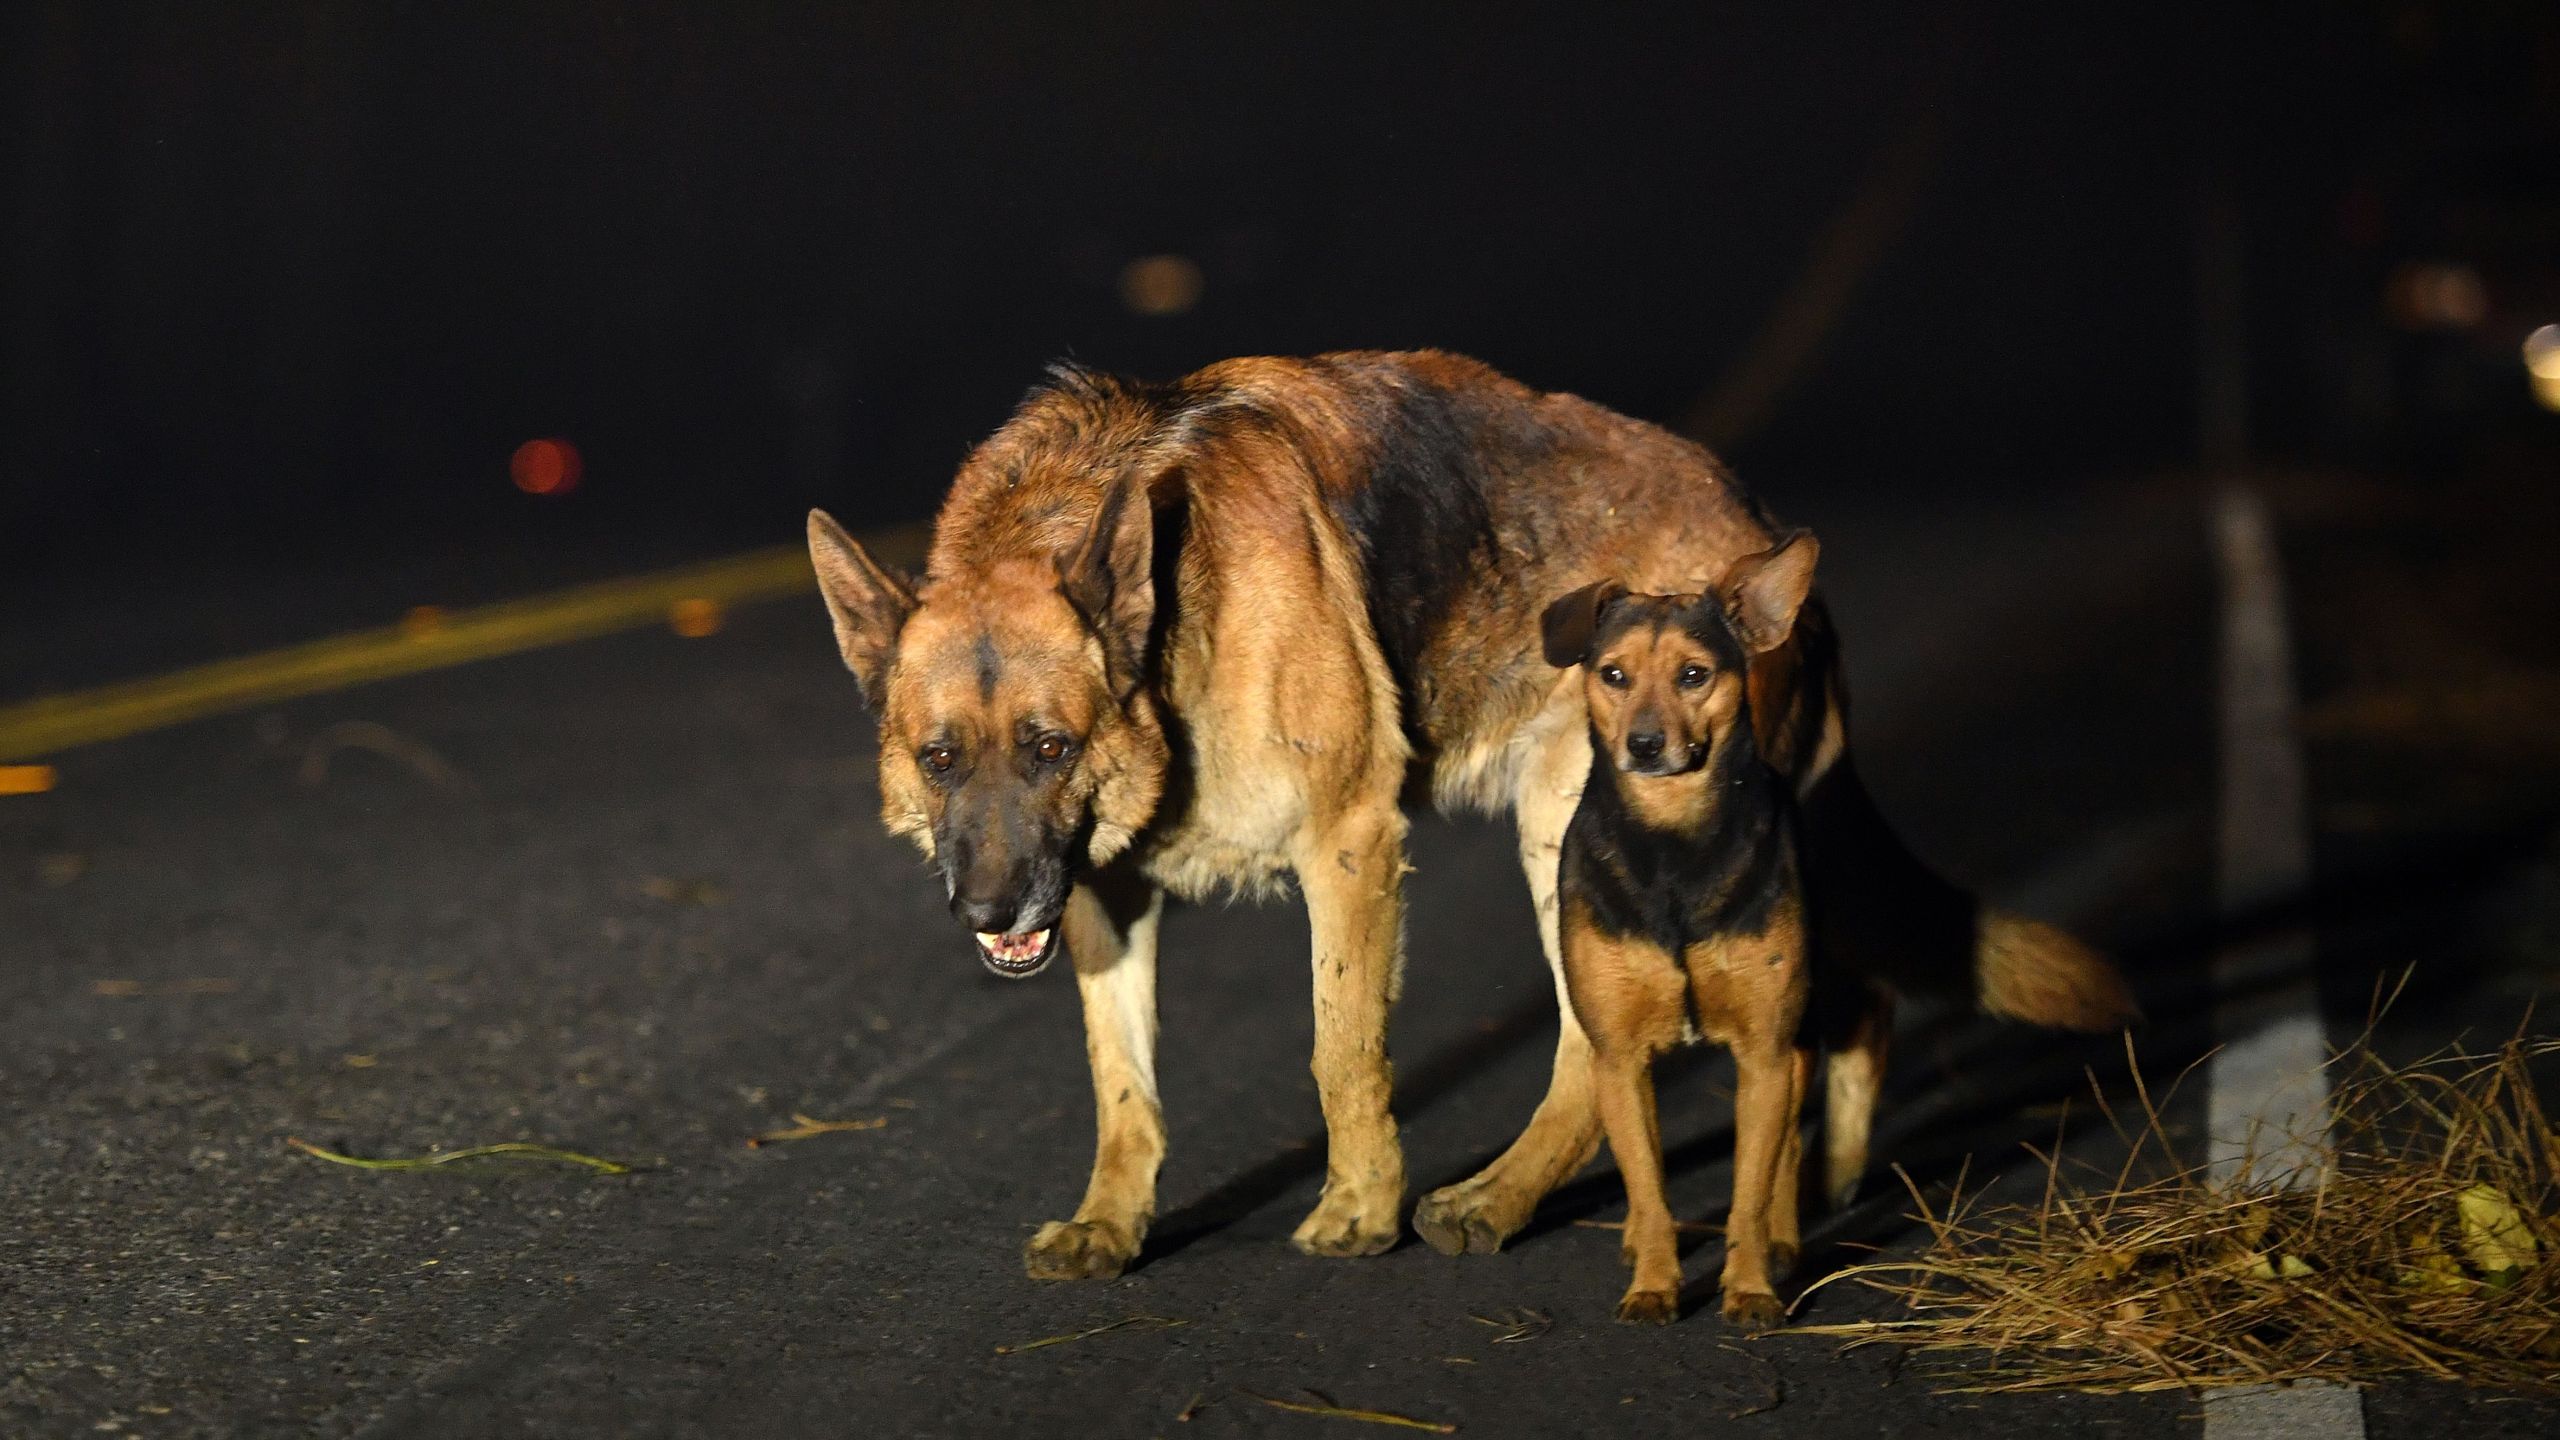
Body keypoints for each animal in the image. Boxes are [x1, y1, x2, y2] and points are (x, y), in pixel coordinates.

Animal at [1546, 532, 1832, 1332]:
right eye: (1612, 675)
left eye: (1694, 675)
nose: (1644, 744)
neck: (1673, 846)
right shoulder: (1618, 1057)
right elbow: (1648, 1185)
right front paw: (1653, 1283)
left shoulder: (1765, 1054)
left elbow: (1749, 1190)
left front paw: (1751, 1287)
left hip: (1801, 1039)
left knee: (1786, 1152)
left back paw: (1784, 1242)